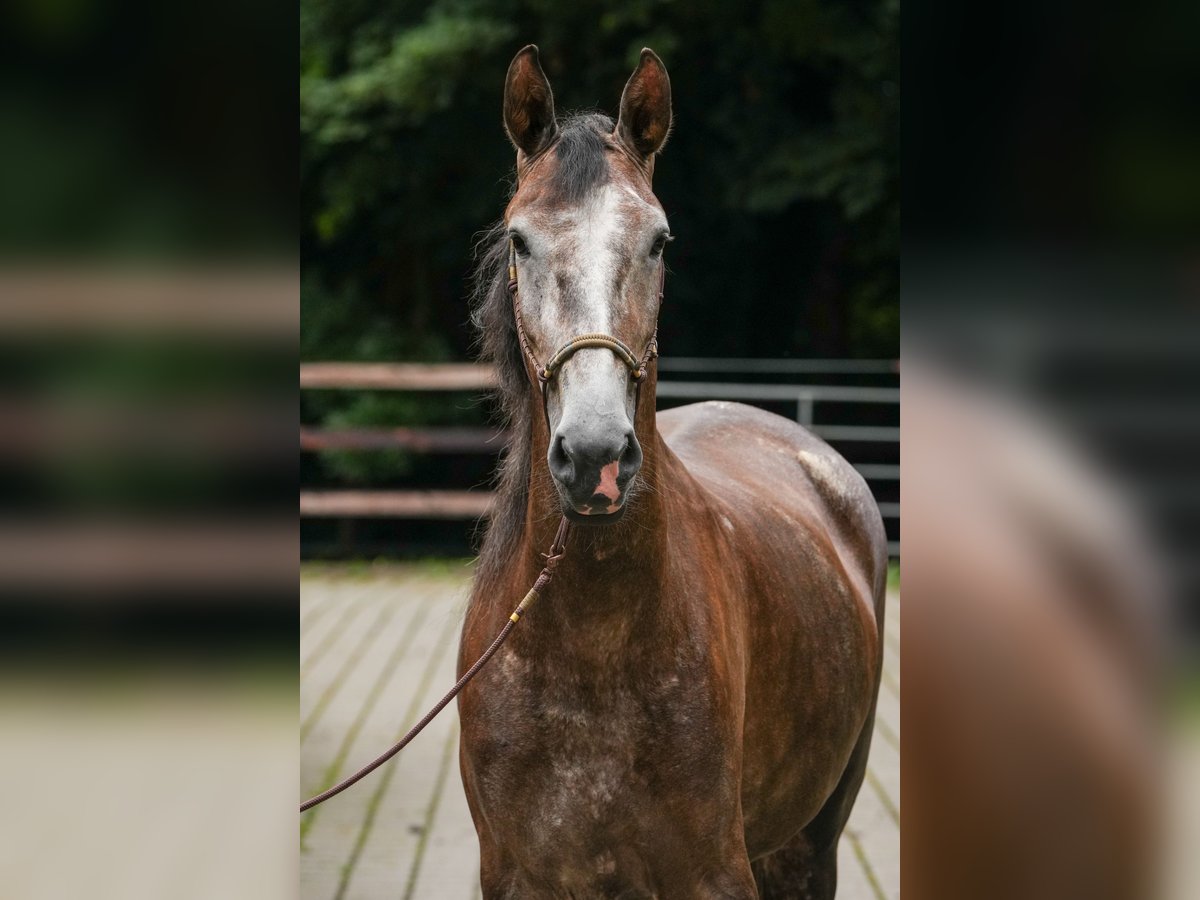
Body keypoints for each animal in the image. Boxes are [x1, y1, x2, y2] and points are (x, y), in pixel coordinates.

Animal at [458, 45, 892, 897]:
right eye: (520, 240)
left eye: (658, 241)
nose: (595, 457)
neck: (589, 643)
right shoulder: (514, 875)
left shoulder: (713, 872)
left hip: (812, 842)